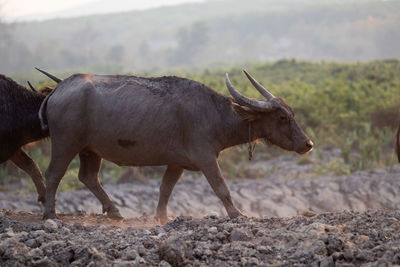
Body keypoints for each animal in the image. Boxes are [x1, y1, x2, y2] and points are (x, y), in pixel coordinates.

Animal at [37, 68, 312, 222]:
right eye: (282, 117)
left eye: (292, 113)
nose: (308, 144)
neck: (214, 113)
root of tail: (58, 89)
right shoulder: (206, 158)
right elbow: (221, 187)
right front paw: (238, 214)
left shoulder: (177, 163)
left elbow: (165, 189)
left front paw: (161, 216)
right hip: (66, 144)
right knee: (53, 174)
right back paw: (50, 214)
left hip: (91, 150)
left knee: (88, 177)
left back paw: (114, 211)